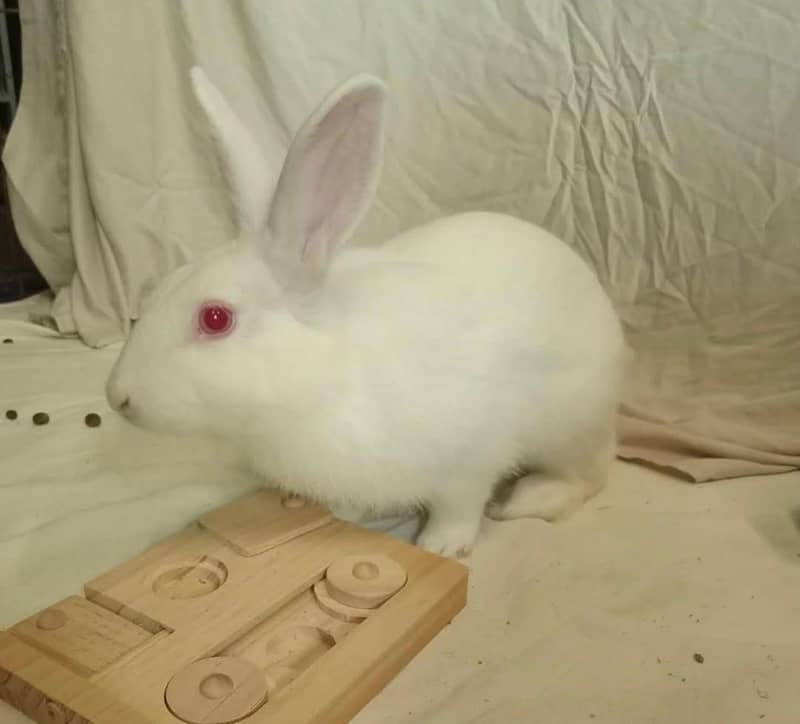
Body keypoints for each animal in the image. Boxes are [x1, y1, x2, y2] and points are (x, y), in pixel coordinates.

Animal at [105, 66, 629, 558]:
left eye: (215, 318)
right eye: (161, 287)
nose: (118, 397)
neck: (326, 376)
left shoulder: (471, 455)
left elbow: (459, 505)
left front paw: (440, 546)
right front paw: (343, 515)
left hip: (570, 423)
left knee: (592, 473)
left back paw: (524, 500)